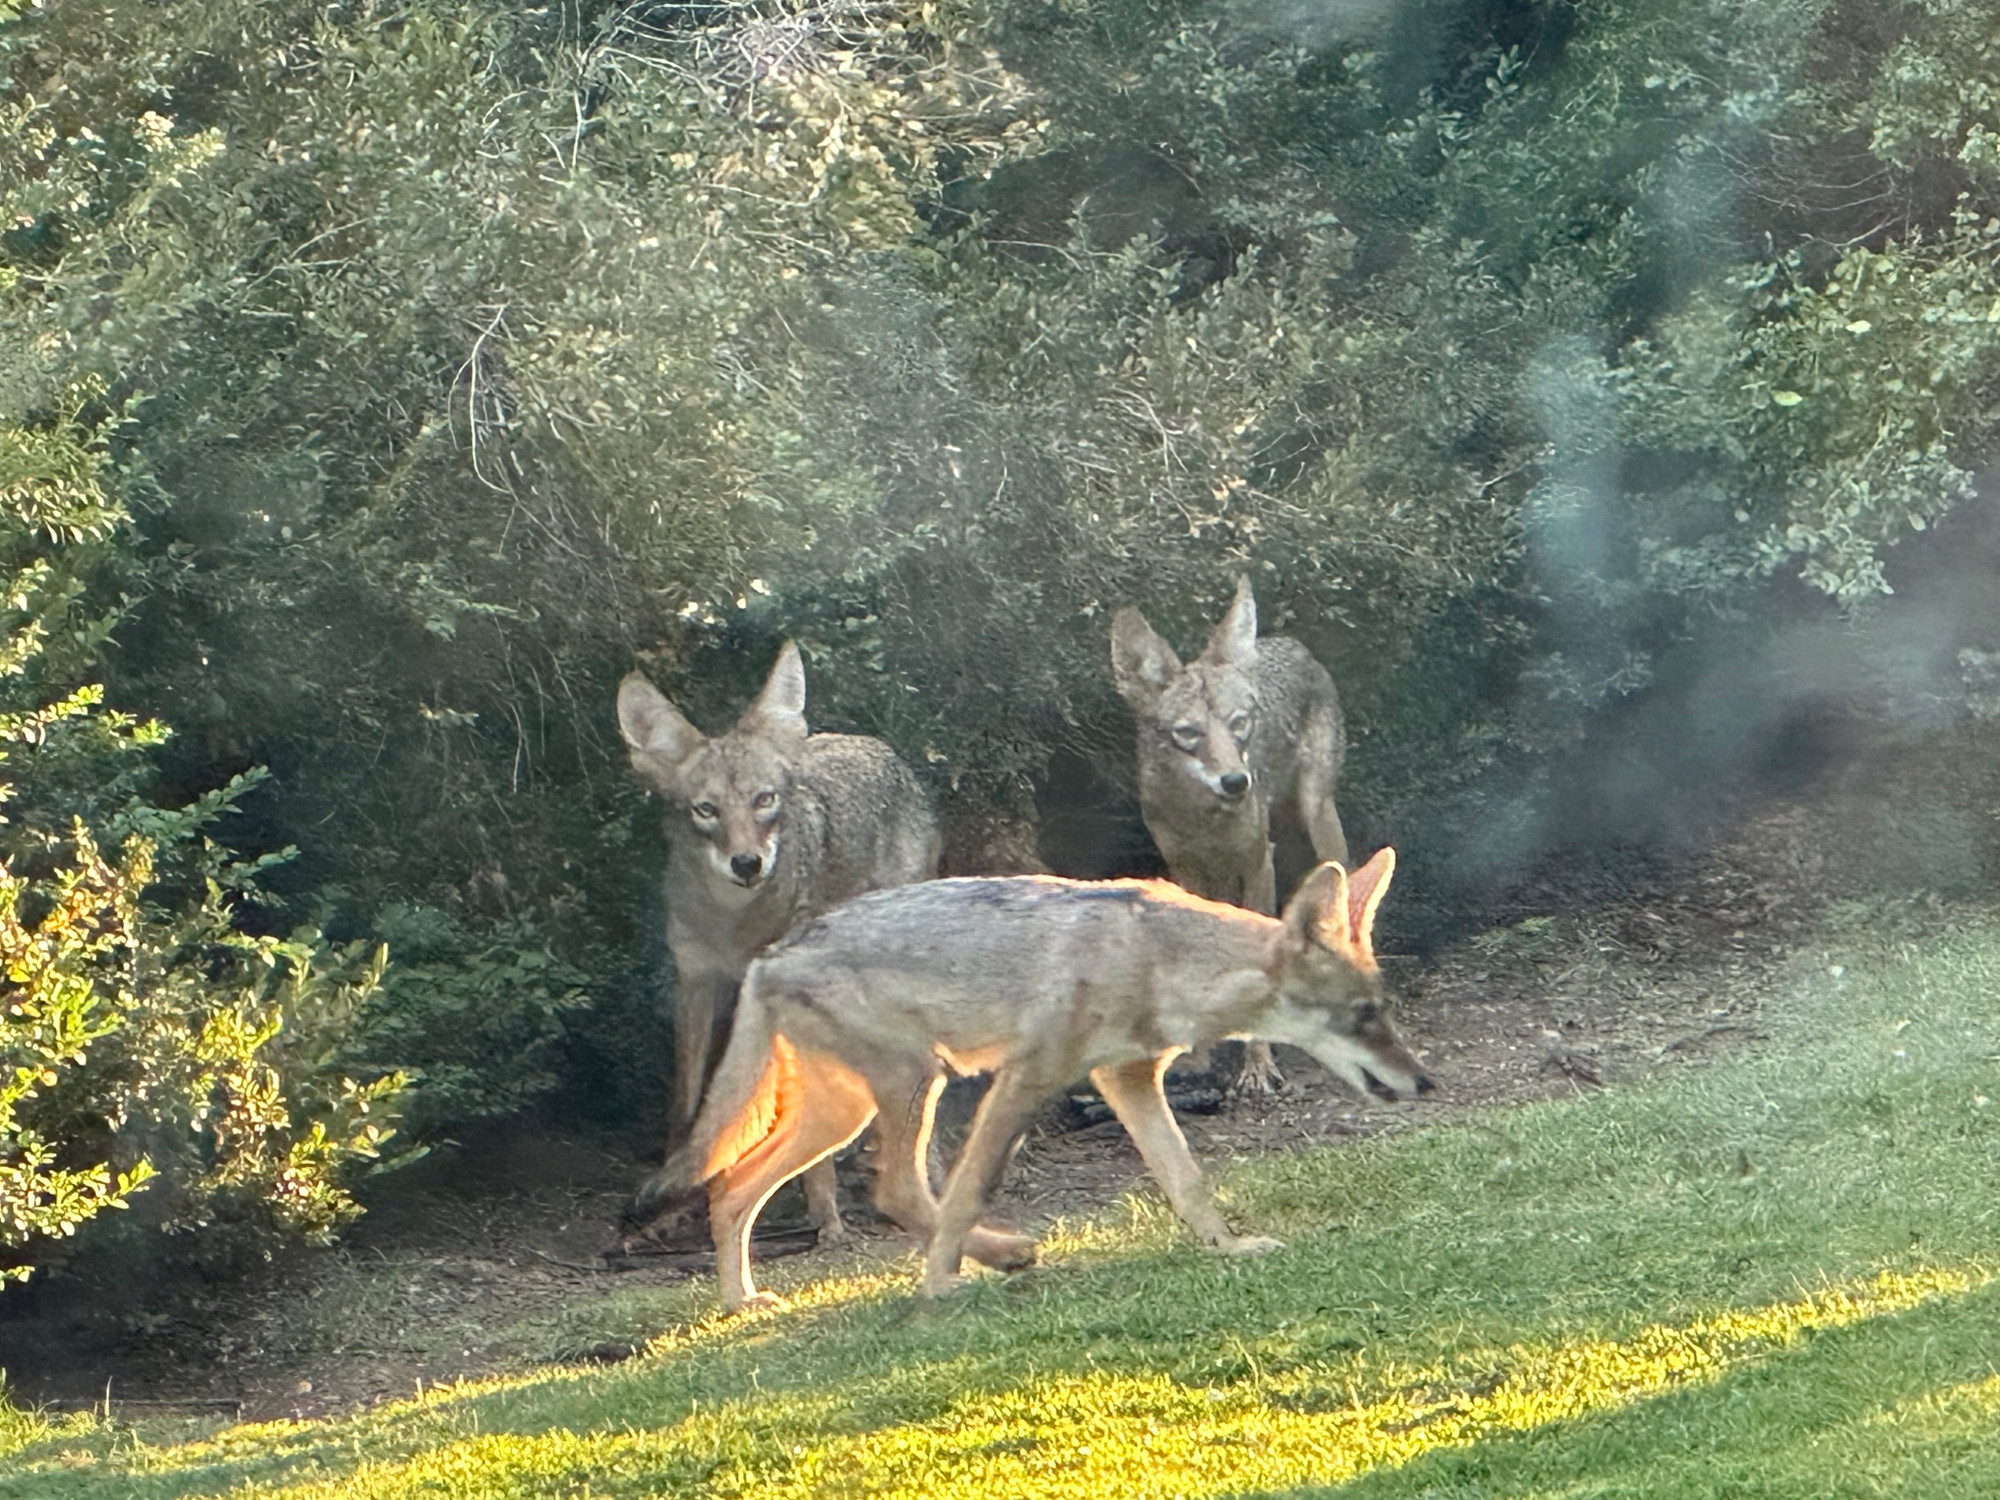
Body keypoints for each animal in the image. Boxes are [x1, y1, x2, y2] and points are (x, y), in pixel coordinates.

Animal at [617, 640, 940, 1242]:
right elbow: (686, 1105)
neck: (733, 924)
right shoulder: (695, 984)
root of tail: (876, 745)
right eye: (706, 810)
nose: (747, 863)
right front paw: (668, 1208)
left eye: (764, 800)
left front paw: (826, 1214)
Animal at [665, 846, 1422, 1311]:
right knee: (896, 1191)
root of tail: (767, 957)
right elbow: (968, 1191)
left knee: (731, 1190)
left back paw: (740, 1302)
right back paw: (992, 1260)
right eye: (1364, 1016)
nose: (1425, 1083)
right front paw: (938, 1287)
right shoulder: (1025, 1079)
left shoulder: (1128, 1080)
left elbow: (1188, 1181)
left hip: (843, 1115)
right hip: (914, 1084)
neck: (1158, 958)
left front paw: (1229, 1248)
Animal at [1111, 575, 1350, 1091]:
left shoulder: (1258, 863)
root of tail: (1290, 644)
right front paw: (1198, 1057)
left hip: (1318, 817)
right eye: (1188, 733)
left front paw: (1258, 1066)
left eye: (1239, 723)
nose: (1237, 782)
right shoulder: (1186, 870)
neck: (1203, 819)